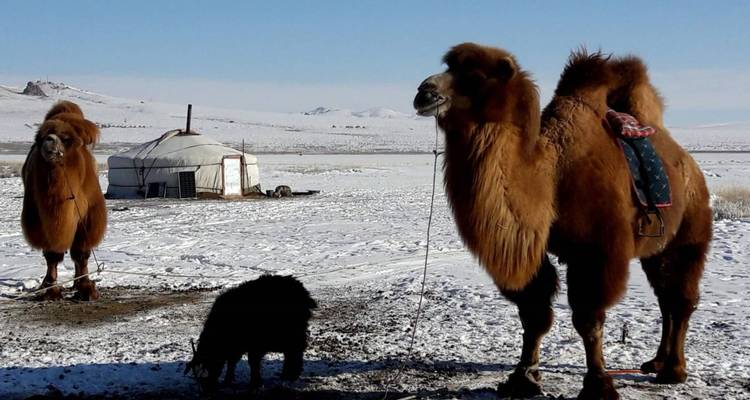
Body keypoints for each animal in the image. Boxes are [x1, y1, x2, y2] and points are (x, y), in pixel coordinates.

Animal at [21, 100, 107, 301]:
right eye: (40, 137)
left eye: (66, 139)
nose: (50, 140)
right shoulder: (41, 219)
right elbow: (52, 255)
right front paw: (51, 289)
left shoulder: (88, 217)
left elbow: (81, 253)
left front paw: (86, 288)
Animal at [413, 43, 711, 399]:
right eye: (448, 67)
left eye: (475, 76)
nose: (424, 91)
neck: (551, 177)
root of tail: (690, 165)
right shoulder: (533, 247)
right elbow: (534, 314)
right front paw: (522, 378)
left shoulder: (597, 251)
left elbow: (588, 319)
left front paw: (598, 384)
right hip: (657, 245)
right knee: (665, 297)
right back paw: (655, 362)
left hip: (689, 230)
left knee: (680, 298)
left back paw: (673, 371)